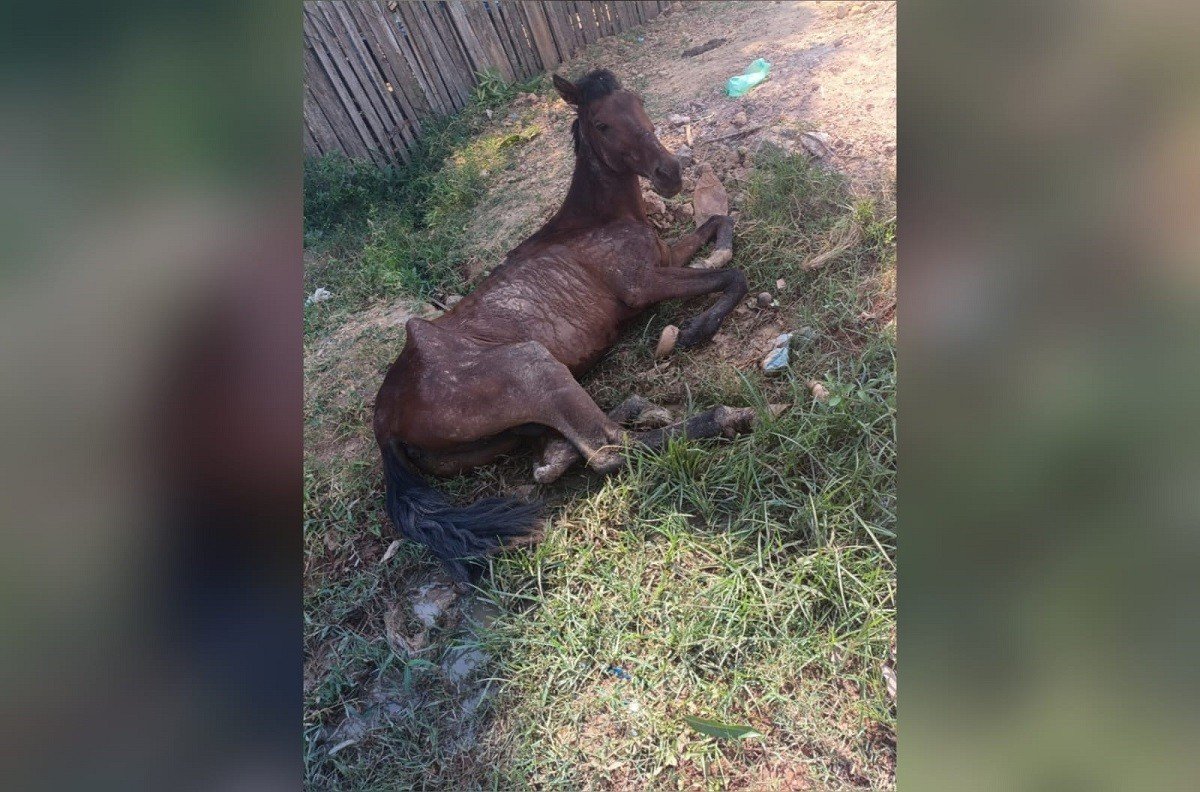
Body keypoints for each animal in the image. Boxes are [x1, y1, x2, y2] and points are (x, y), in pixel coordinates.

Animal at [373, 69, 754, 580]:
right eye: (602, 125)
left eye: (638, 101)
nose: (670, 173)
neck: (597, 218)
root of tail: (384, 417)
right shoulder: (641, 284)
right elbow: (734, 273)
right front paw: (697, 329)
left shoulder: (666, 258)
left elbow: (719, 223)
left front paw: (715, 256)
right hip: (531, 364)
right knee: (609, 451)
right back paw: (724, 417)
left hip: (511, 428)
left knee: (564, 446)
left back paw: (613, 421)